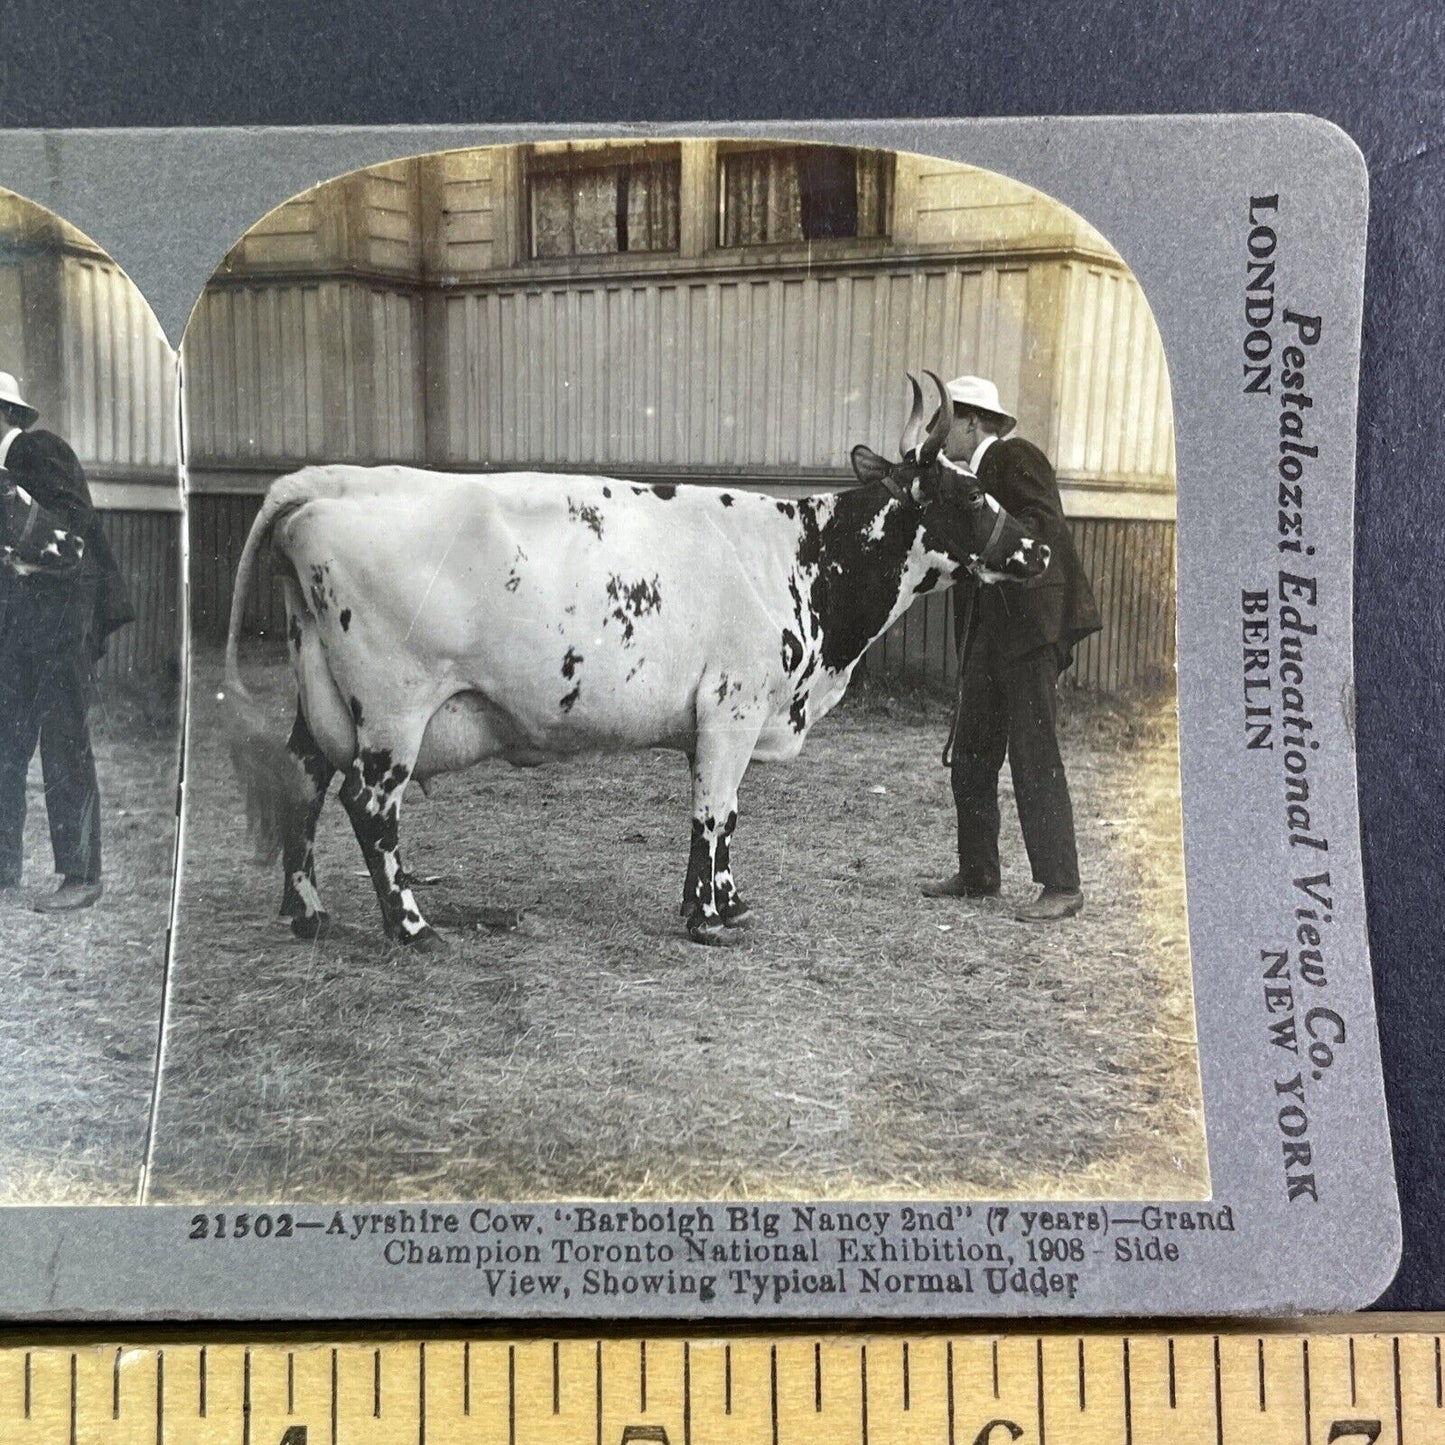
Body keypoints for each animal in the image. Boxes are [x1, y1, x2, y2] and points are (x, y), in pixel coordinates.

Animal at [219, 372, 1046, 947]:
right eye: (972, 497)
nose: (1037, 550)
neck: (802, 559)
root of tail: (331, 480)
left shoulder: (714, 722)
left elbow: (717, 816)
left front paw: (719, 902)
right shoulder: (733, 705)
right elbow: (716, 811)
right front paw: (709, 918)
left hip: (321, 693)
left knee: (304, 776)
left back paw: (306, 910)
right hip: (394, 709)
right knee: (369, 807)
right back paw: (412, 928)